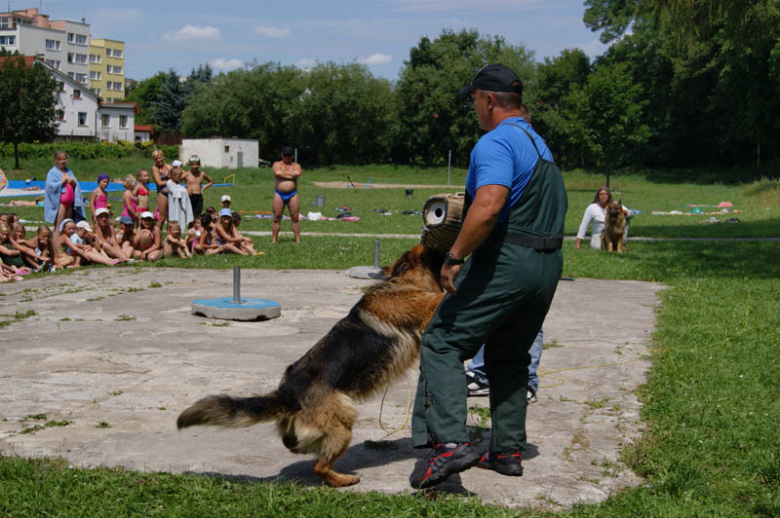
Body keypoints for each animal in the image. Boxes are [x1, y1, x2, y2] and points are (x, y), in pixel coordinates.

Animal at [177, 246, 444, 490]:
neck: (401, 279)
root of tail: (287, 393)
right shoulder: (424, 307)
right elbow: (439, 299)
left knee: (296, 447)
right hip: (344, 424)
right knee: (320, 467)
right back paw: (343, 479)